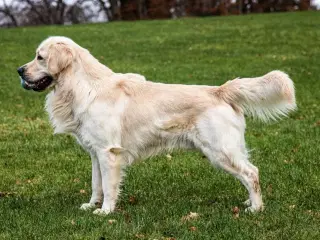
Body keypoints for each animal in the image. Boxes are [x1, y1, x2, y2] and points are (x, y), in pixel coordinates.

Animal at [17, 36, 296, 216]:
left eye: (40, 57)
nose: (19, 70)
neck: (83, 88)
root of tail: (220, 90)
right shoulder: (95, 153)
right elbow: (97, 183)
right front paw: (91, 205)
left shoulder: (109, 152)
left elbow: (109, 186)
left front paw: (106, 212)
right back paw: (250, 204)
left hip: (220, 151)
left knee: (251, 173)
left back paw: (256, 209)